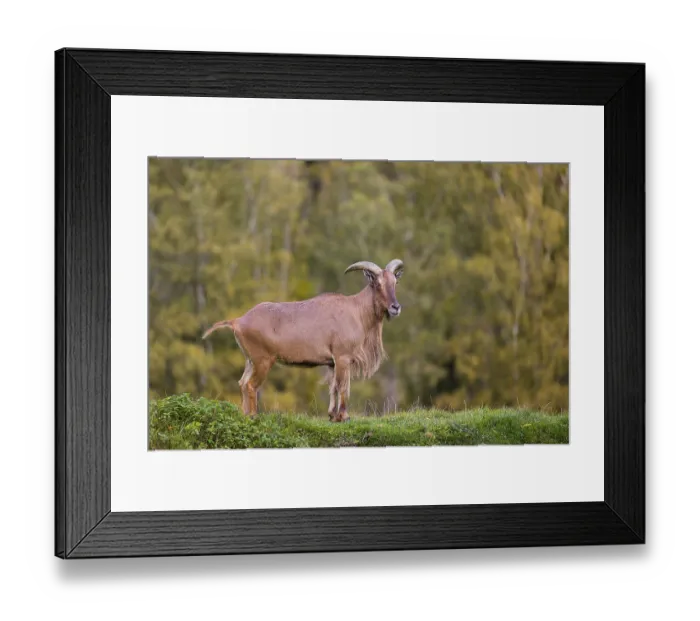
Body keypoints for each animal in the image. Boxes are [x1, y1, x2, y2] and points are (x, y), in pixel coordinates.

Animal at [202, 259, 404, 422]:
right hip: (263, 361)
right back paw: (253, 416)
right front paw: (344, 417)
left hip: (250, 360)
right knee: (251, 385)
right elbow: (343, 387)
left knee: (243, 383)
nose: (395, 307)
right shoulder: (343, 358)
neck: (356, 311)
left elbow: (333, 387)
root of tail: (237, 321)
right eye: (377, 283)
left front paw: (332, 416)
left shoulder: (332, 363)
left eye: (395, 282)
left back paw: (245, 415)